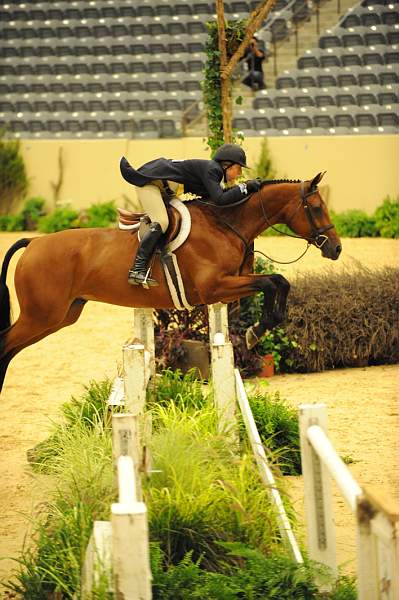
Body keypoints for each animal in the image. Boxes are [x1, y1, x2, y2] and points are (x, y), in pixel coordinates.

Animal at [0, 171, 340, 394]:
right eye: (317, 208)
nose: (336, 248)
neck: (226, 224)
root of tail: (33, 242)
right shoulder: (215, 287)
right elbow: (270, 283)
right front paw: (256, 331)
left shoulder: (229, 286)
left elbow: (278, 281)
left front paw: (260, 328)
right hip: (41, 315)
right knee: (5, 342)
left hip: (61, 316)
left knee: (9, 348)